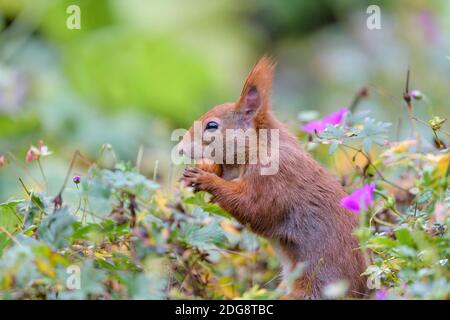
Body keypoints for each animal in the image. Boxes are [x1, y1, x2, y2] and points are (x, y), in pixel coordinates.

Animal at [178, 56, 368, 298]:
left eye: (212, 125)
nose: (180, 148)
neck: (261, 146)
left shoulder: (276, 177)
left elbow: (254, 208)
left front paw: (205, 178)